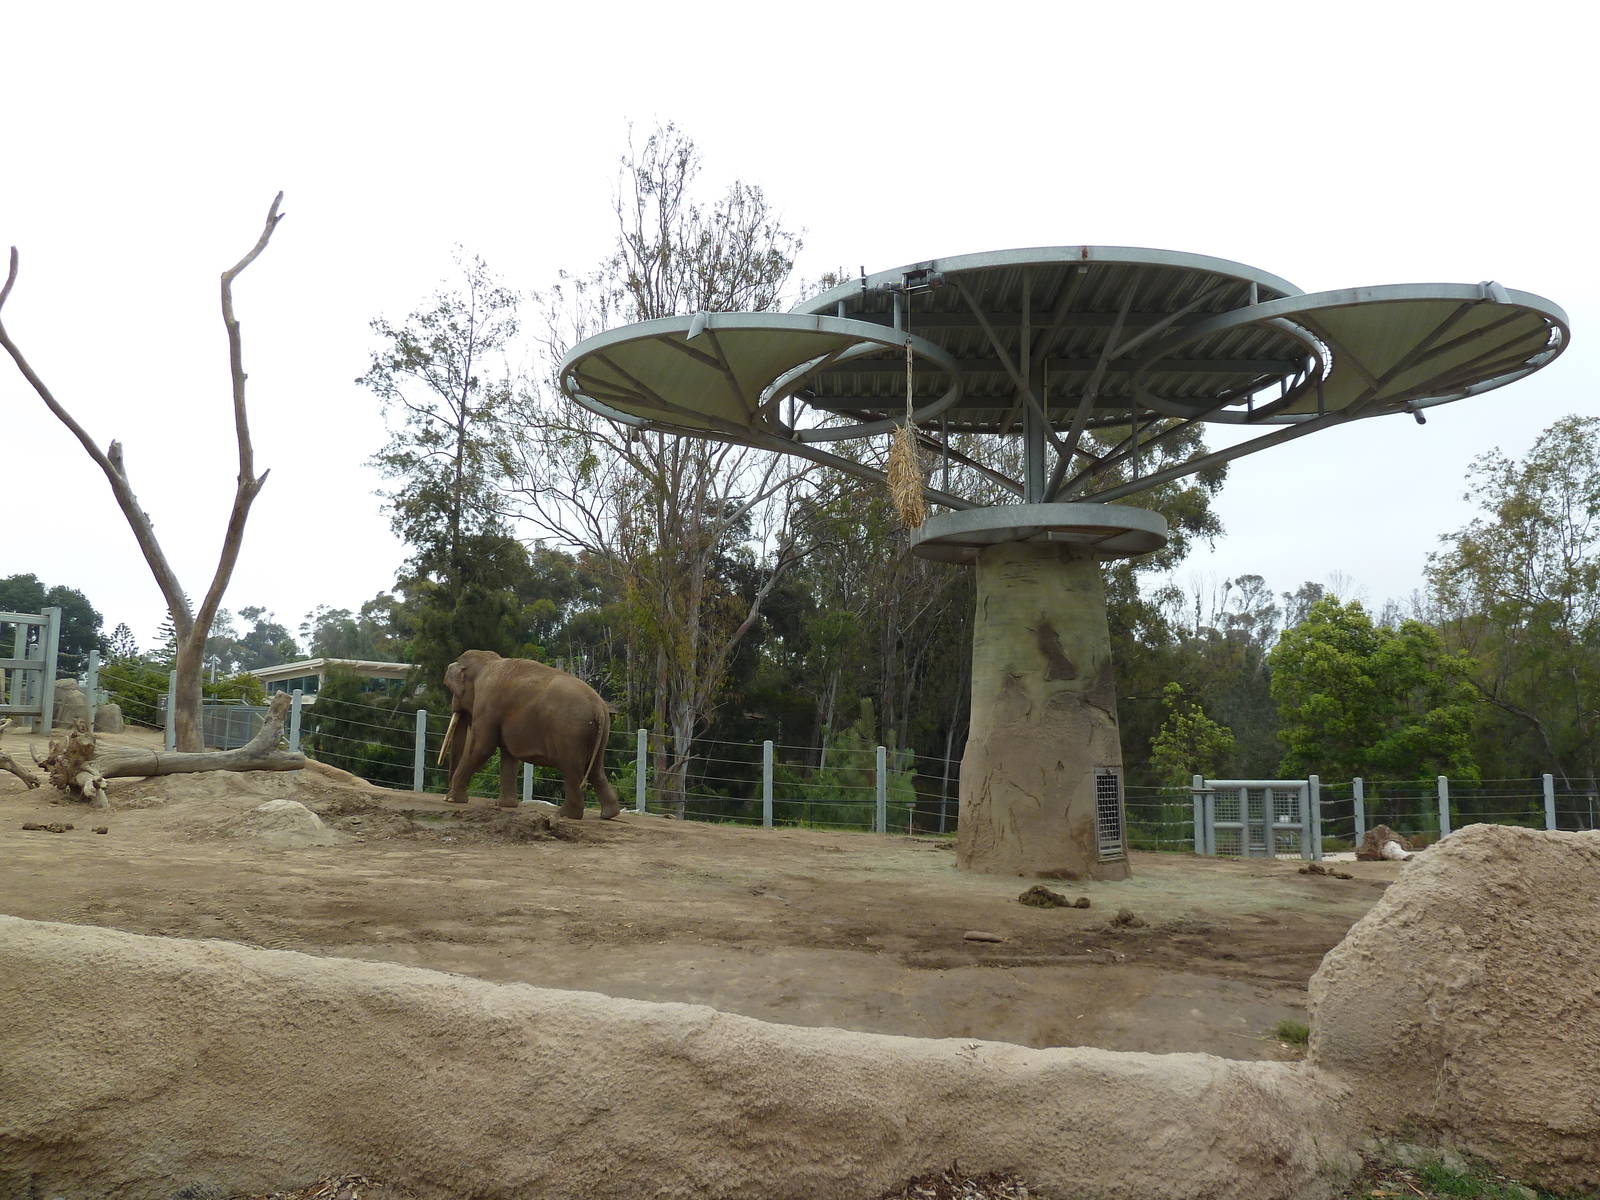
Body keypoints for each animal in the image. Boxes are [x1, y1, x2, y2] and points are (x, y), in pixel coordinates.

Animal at [439, 650, 622, 819]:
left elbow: (482, 747)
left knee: (571, 769)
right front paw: (505, 805)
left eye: (452, 689)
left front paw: (453, 800)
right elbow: (509, 755)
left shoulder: (487, 703)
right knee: (596, 769)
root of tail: (599, 707)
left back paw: (564, 814)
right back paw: (609, 814)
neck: (486, 662)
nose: (445, 797)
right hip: (601, 732)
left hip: (571, 732)